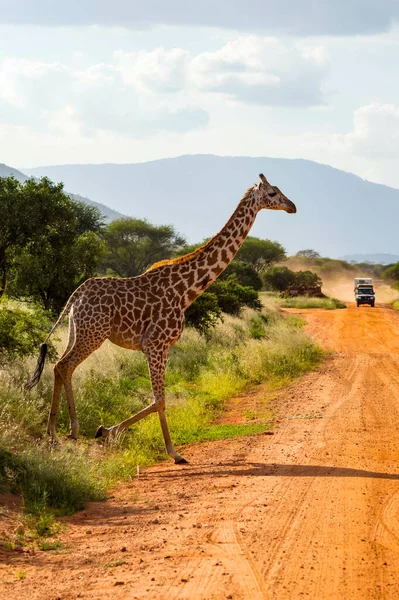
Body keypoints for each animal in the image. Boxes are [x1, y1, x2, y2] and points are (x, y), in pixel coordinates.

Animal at [26, 173, 296, 464]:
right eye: (272, 193)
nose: (292, 206)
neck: (187, 290)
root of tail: (75, 295)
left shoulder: (158, 347)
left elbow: (156, 400)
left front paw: (106, 430)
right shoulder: (156, 344)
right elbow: (160, 400)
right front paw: (173, 452)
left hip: (76, 331)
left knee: (59, 366)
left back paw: (58, 431)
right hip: (93, 334)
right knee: (64, 366)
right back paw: (64, 431)